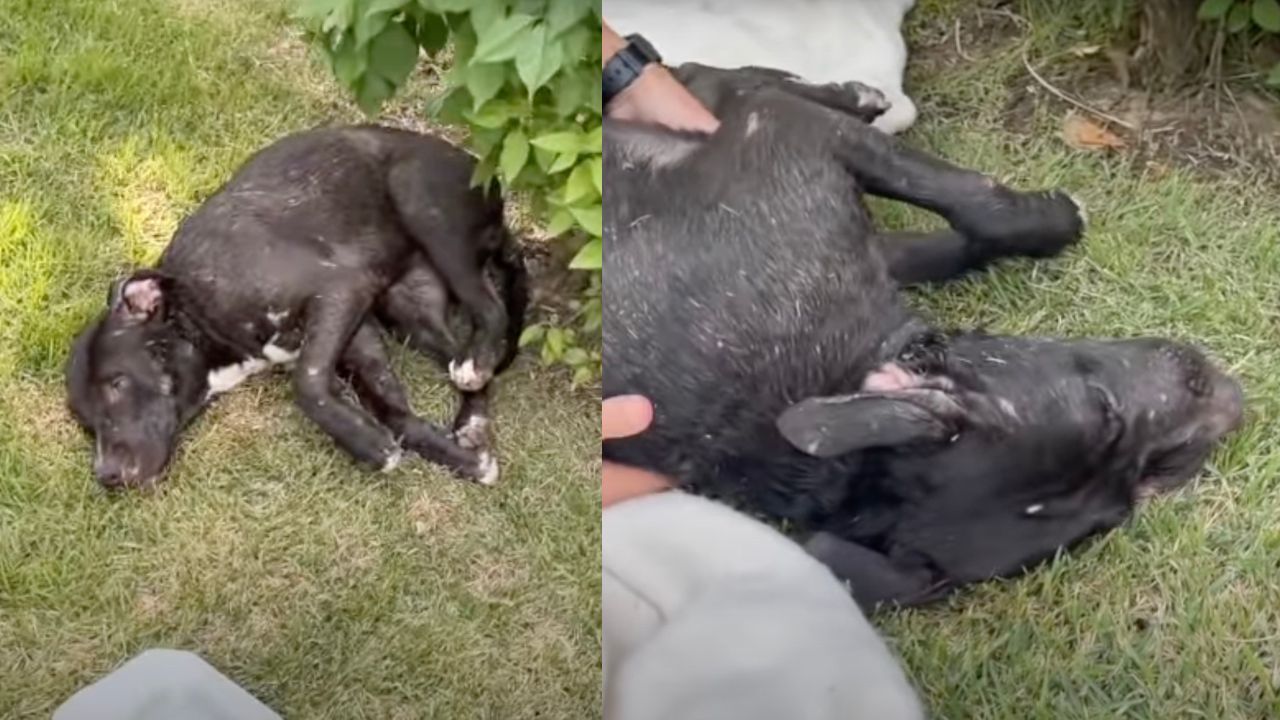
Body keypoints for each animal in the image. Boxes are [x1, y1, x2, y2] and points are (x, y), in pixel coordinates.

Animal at [67, 126, 527, 489]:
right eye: (86, 422)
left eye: (117, 384)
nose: (106, 476)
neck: (199, 308)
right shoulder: (358, 334)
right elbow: (396, 413)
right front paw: (461, 461)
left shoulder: (339, 291)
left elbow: (307, 385)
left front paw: (369, 446)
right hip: (408, 311)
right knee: (459, 353)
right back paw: (471, 421)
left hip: (422, 206)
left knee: (492, 312)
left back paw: (477, 366)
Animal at [604, 64, 1244, 607]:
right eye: (1105, 409)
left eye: (1123, 503)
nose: (1227, 404)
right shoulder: (791, 135)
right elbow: (982, 204)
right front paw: (1058, 216)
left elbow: (958, 239)